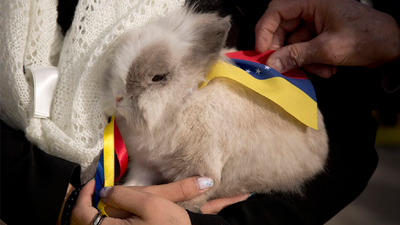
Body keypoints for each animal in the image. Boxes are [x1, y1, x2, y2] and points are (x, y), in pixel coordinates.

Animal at [102, 6, 328, 211]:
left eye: (158, 77)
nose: (118, 98)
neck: (183, 104)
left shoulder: (201, 172)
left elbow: (191, 199)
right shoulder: (145, 163)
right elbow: (139, 180)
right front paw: (128, 189)